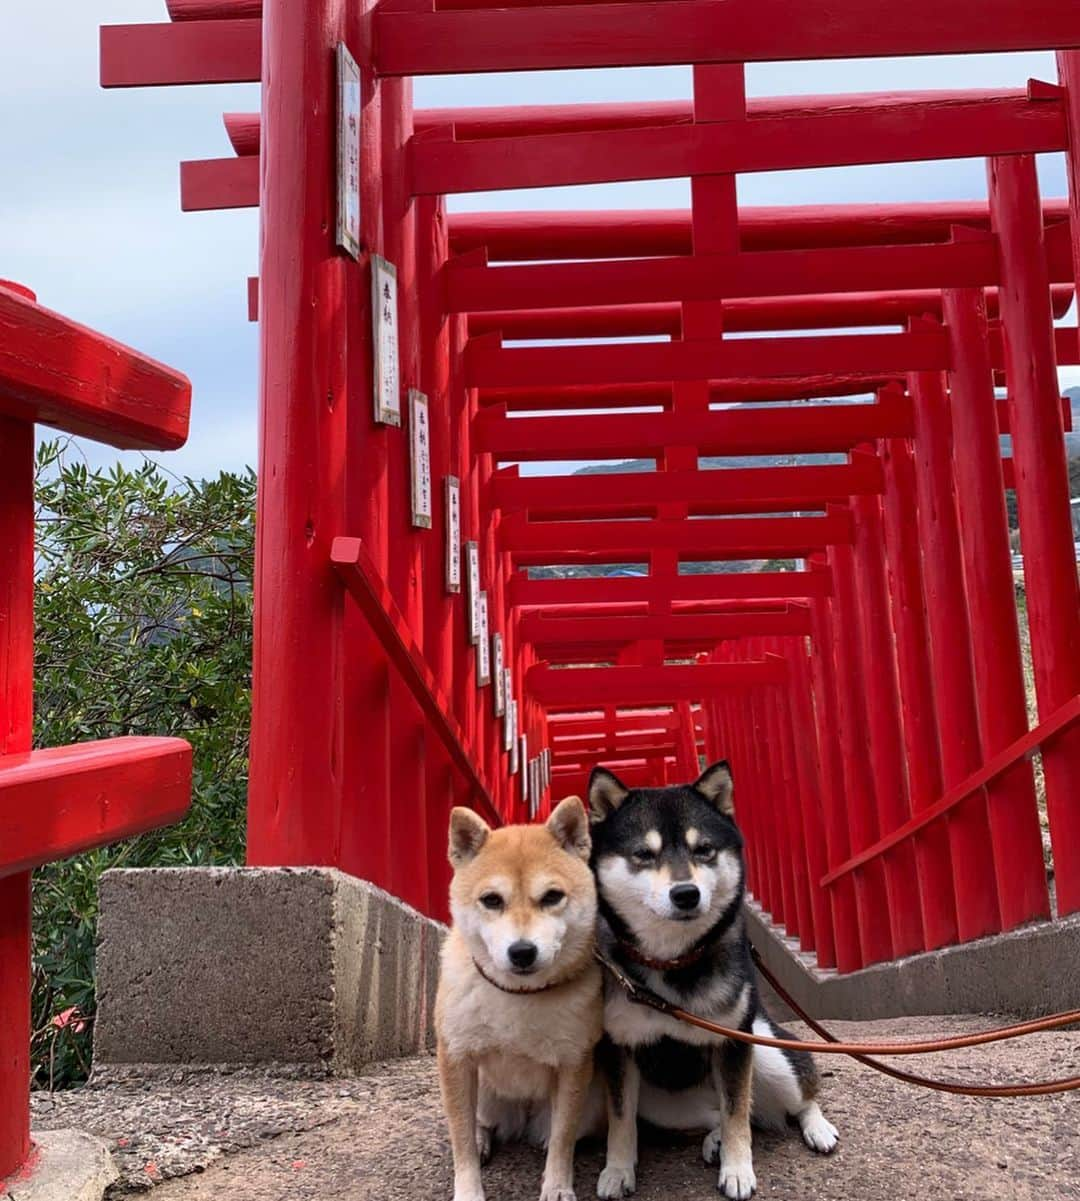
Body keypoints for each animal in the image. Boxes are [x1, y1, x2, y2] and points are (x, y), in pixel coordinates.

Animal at [439, 797, 607, 1201]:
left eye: (552, 897)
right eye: (491, 900)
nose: (522, 951)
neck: (517, 995)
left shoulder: (574, 1063)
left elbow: (563, 1139)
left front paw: (557, 1186)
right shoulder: (455, 1057)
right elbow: (461, 1140)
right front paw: (468, 1191)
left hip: (594, 1099)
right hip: (485, 1092)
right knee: (480, 1122)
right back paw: (484, 1137)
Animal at [591, 763, 836, 1201]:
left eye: (703, 849)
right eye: (644, 855)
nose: (686, 893)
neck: (671, 962)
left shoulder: (734, 1042)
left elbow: (737, 1112)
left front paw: (737, 1170)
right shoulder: (618, 1046)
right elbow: (620, 1120)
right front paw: (617, 1169)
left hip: (766, 1050)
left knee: (792, 1097)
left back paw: (816, 1128)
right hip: (663, 1106)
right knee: (715, 1114)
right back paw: (714, 1138)